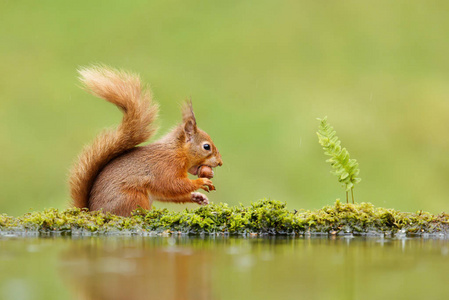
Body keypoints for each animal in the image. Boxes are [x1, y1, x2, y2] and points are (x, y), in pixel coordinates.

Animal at [69, 66, 222, 216]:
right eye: (206, 147)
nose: (220, 163)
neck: (178, 151)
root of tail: (93, 211)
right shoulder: (165, 167)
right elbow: (174, 185)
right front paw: (201, 182)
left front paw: (198, 197)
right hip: (133, 197)